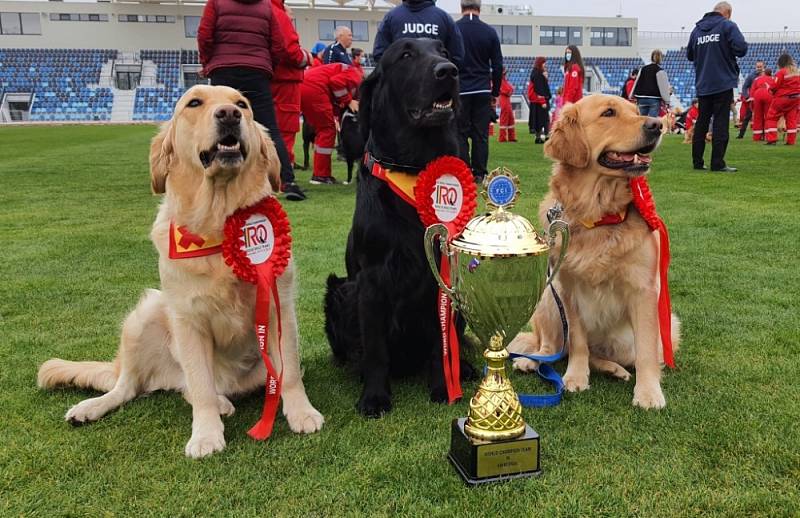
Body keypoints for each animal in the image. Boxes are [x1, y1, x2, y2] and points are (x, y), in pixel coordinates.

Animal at [324, 37, 476, 418]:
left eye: (444, 52)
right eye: (405, 55)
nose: (448, 71)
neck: (414, 167)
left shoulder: (443, 274)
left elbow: (441, 341)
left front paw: (443, 386)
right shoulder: (371, 279)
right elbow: (376, 348)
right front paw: (375, 397)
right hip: (339, 291)